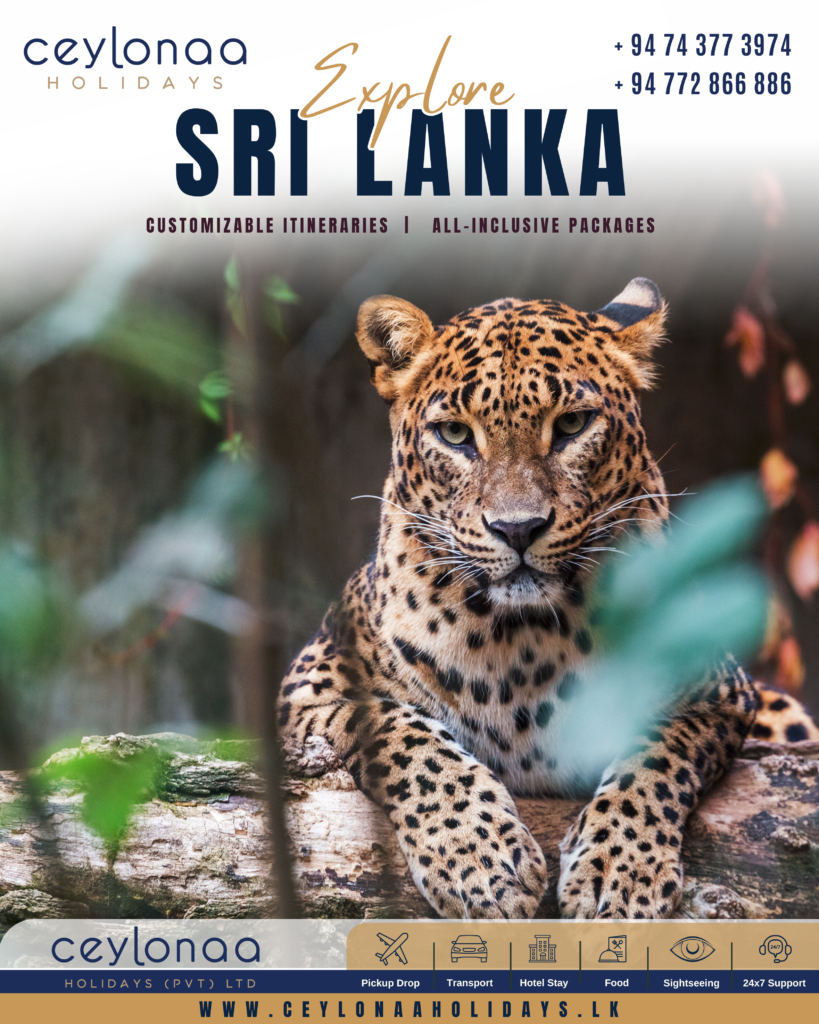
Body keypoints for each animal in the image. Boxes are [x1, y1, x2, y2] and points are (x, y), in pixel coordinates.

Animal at [277, 278, 818, 921]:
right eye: (455, 434)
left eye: (573, 425)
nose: (518, 529)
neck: (521, 638)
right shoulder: (309, 689)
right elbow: (403, 737)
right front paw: (480, 861)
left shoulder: (717, 691)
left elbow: (656, 753)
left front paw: (619, 872)